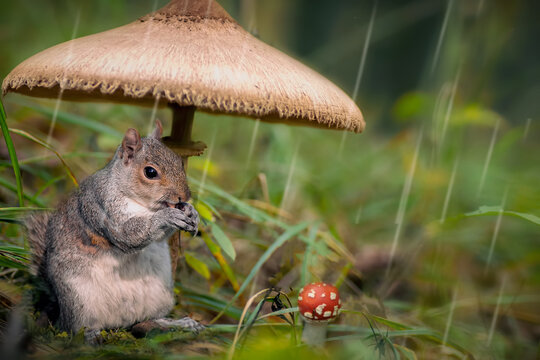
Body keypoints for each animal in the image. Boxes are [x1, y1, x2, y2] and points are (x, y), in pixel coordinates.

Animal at [24, 120, 202, 340]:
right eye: (150, 172)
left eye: (179, 162)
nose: (183, 196)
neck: (142, 204)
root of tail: (118, 323)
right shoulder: (105, 208)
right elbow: (128, 234)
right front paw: (167, 216)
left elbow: (161, 238)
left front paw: (192, 212)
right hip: (80, 302)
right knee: (75, 328)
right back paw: (91, 336)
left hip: (160, 296)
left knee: (145, 322)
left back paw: (180, 324)